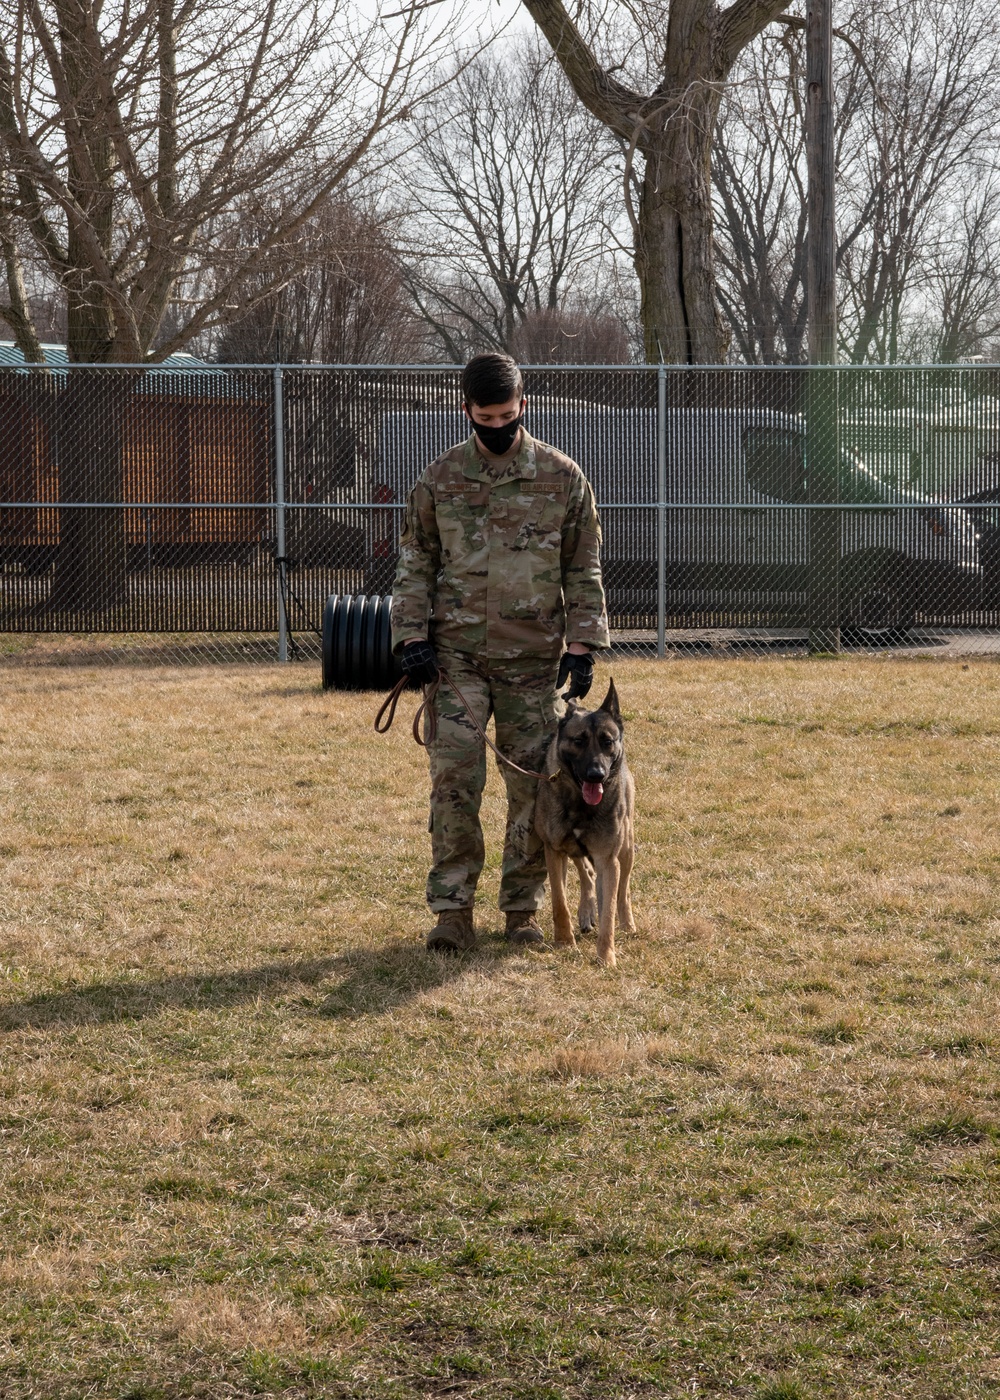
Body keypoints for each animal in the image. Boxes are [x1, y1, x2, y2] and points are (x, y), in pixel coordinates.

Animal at [535, 674, 635, 963]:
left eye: (607, 741)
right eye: (578, 741)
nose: (596, 774)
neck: (580, 803)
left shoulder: (608, 860)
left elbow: (609, 911)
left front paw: (606, 957)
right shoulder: (554, 851)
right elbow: (560, 902)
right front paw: (565, 942)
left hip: (626, 849)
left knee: (623, 890)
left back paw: (627, 923)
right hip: (574, 850)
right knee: (586, 873)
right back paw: (586, 910)